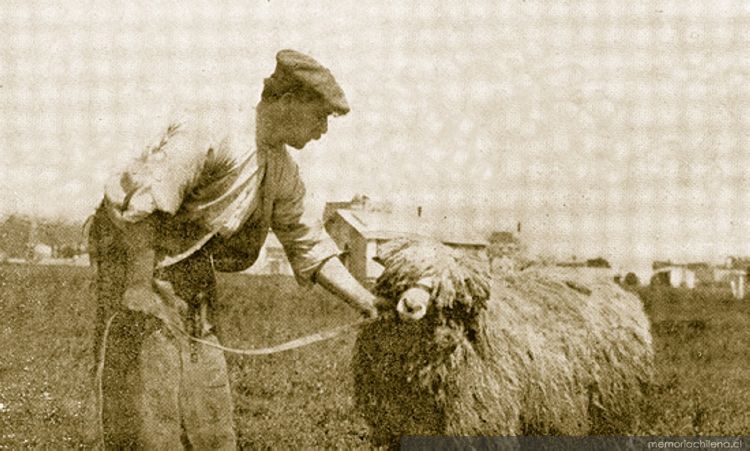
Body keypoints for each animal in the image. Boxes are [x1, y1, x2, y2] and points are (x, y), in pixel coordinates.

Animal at [356, 240, 656, 448]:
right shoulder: (399, 423)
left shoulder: (479, 420)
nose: (410, 306)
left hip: (613, 406)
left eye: (449, 295)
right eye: (402, 276)